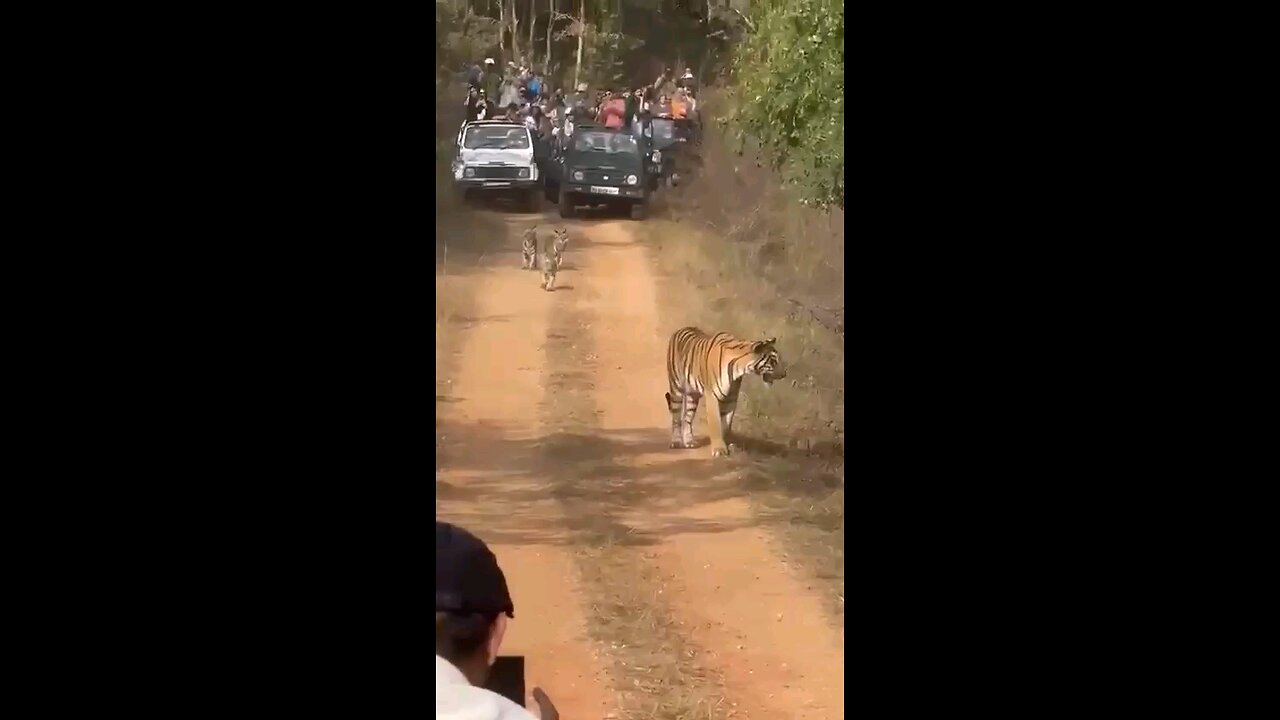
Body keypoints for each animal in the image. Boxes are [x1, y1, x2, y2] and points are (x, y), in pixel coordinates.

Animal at [665, 325, 783, 453]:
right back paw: (676, 441)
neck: (739, 368)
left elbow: (727, 423)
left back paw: (689, 441)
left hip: (693, 395)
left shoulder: (732, 397)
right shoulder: (712, 395)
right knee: (676, 418)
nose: (784, 374)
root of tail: (681, 329)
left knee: (687, 418)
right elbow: (716, 423)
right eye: (773, 361)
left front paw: (728, 444)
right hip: (676, 388)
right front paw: (719, 449)